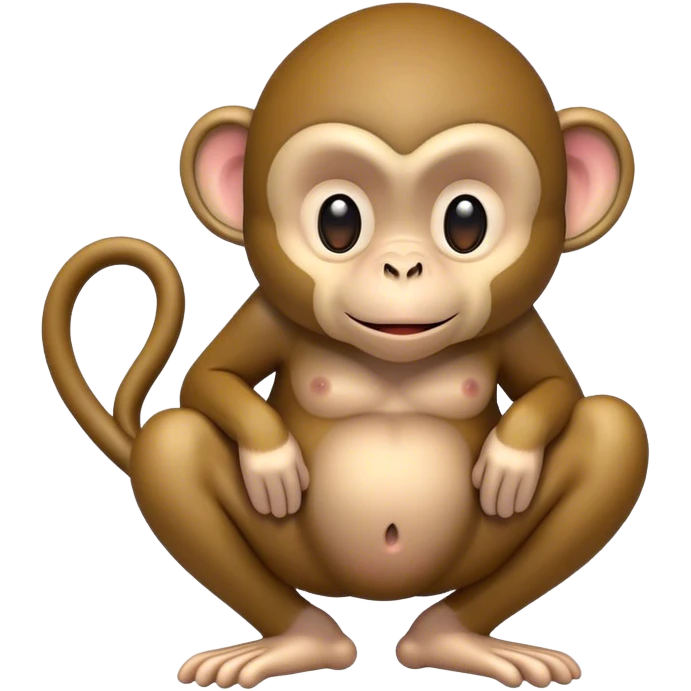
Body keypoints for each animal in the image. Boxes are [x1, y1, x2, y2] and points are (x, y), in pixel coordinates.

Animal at [40, 4, 648, 689]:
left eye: (466, 221)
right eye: (338, 220)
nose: (403, 267)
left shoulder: (516, 325)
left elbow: (559, 389)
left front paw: (510, 458)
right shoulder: (269, 313)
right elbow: (208, 380)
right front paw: (271, 457)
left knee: (613, 429)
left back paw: (451, 637)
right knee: (174, 441)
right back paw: (302, 641)